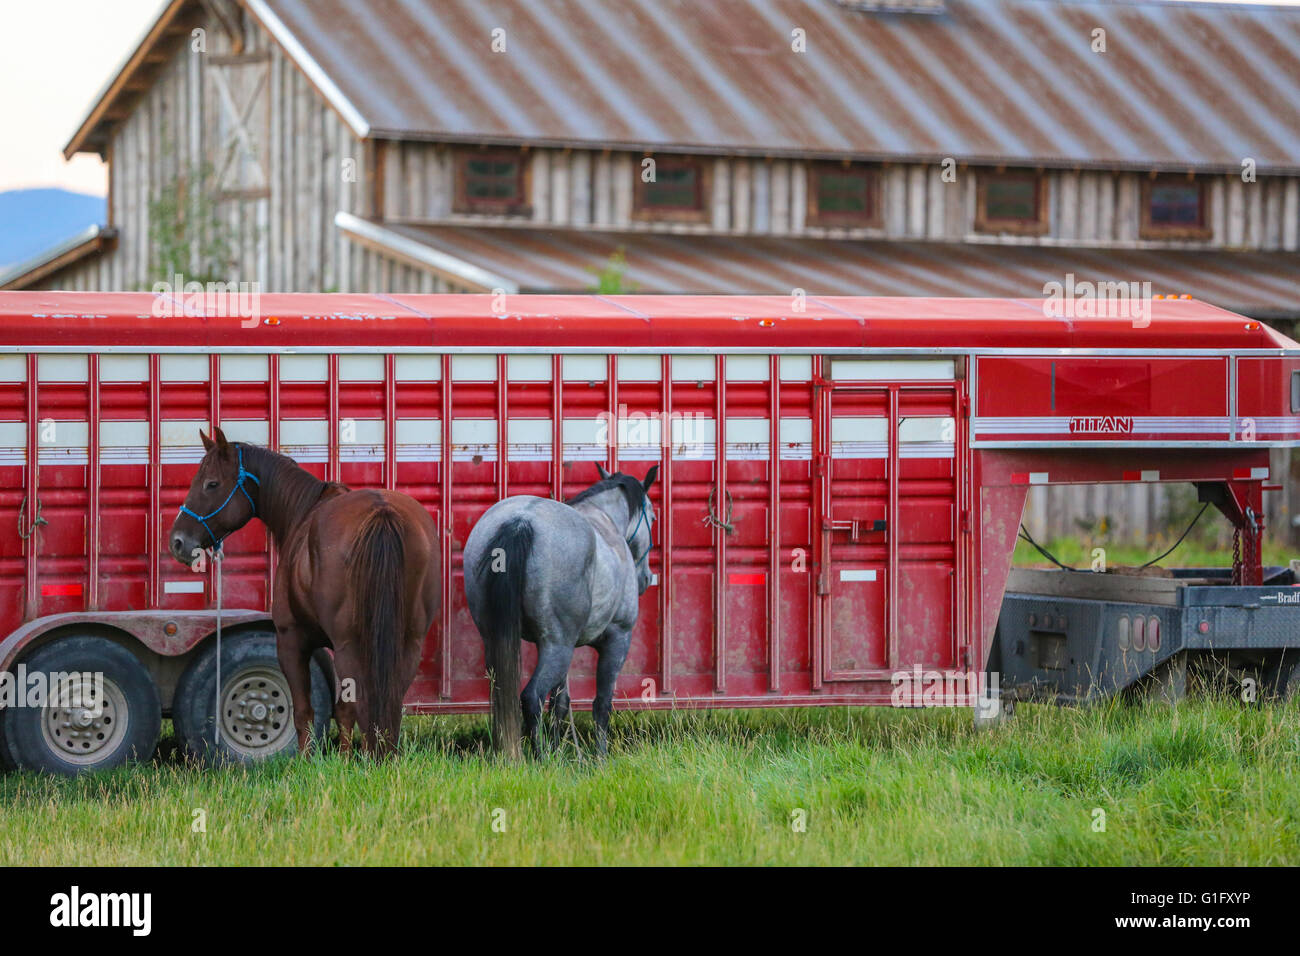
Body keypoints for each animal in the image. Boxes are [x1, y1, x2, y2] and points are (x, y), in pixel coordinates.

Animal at [168, 426, 440, 758]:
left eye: (212, 483)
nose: (178, 541)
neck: (304, 512)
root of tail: (382, 512)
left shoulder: (291, 640)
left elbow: (304, 711)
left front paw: (310, 760)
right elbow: (342, 710)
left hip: (350, 645)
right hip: (408, 643)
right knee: (389, 697)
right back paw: (384, 754)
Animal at [464, 464, 657, 759]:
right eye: (654, 518)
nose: (645, 579)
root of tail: (521, 520)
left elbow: (560, 702)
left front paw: (559, 749)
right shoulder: (617, 640)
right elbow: (602, 704)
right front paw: (600, 757)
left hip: (503, 641)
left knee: (504, 694)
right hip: (559, 646)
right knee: (531, 696)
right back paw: (541, 758)